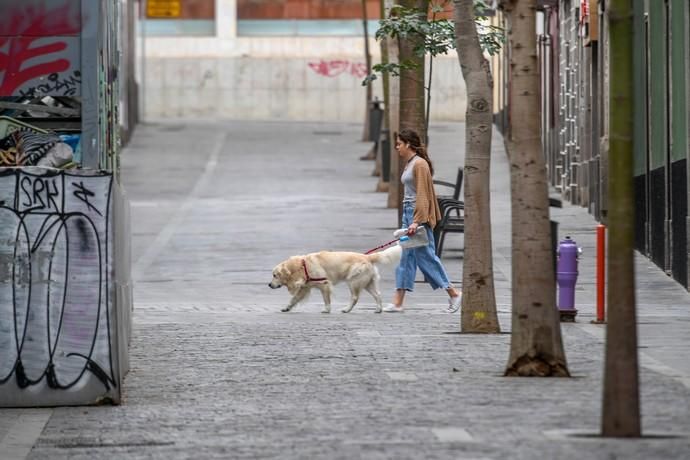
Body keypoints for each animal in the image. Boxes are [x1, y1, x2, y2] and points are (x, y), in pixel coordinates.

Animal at [268, 246, 400, 314]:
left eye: (275, 275)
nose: (269, 284)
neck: (302, 266)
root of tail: (367, 256)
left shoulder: (325, 284)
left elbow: (326, 300)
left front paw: (327, 310)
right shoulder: (305, 287)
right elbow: (294, 299)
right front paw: (287, 308)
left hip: (353, 282)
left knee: (355, 298)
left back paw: (346, 309)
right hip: (368, 283)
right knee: (378, 295)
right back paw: (378, 309)